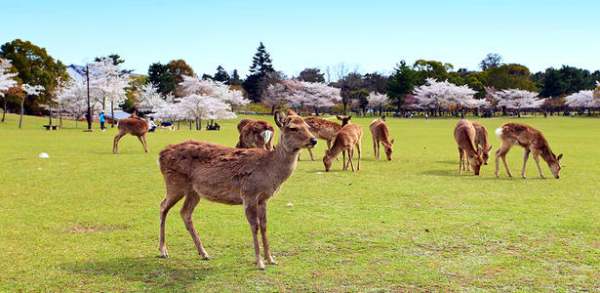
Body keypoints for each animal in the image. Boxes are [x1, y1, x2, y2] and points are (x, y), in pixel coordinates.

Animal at [159, 112, 318, 270]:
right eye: (292, 128)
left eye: (308, 126)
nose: (314, 140)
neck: (270, 170)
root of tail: (160, 155)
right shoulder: (249, 193)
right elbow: (255, 226)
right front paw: (260, 263)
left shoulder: (263, 199)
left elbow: (264, 226)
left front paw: (271, 259)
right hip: (174, 183)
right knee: (163, 206)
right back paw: (163, 251)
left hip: (194, 191)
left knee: (185, 212)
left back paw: (204, 253)